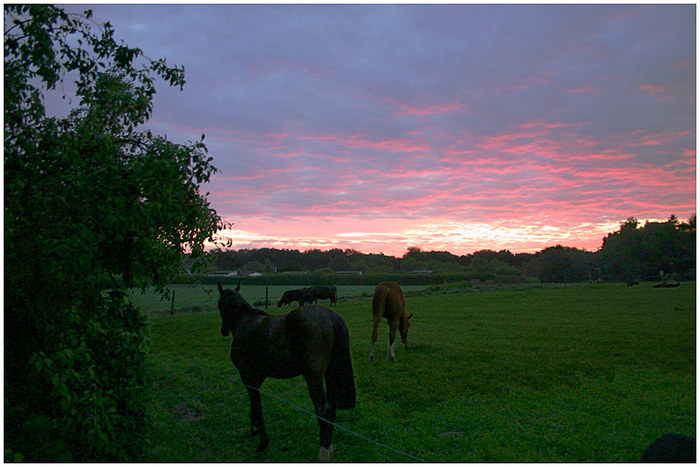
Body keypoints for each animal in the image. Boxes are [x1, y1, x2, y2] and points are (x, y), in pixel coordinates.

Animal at [217, 284, 356, 462]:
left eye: (220, 305)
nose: (223, 330)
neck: (246, 321)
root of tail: (331, 317)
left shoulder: (247, 375)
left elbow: (256, 403)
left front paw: (262, 442)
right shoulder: (256, 377)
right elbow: (254, 403)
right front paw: (254, 430)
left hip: (314, 378)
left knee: (323, 409)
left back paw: (323, 453)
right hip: (330, 374)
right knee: (331, 408)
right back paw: (329, 446)